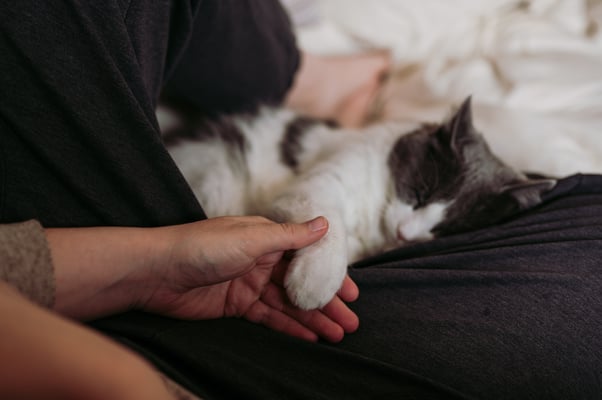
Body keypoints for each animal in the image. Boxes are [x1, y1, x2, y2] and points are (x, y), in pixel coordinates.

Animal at [163, 97, 552, 310]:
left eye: (444, 229)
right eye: (421, 192)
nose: (405, 234)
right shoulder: (317, 185)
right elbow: (329, 224)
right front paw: (315, 283)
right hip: (218, 174)